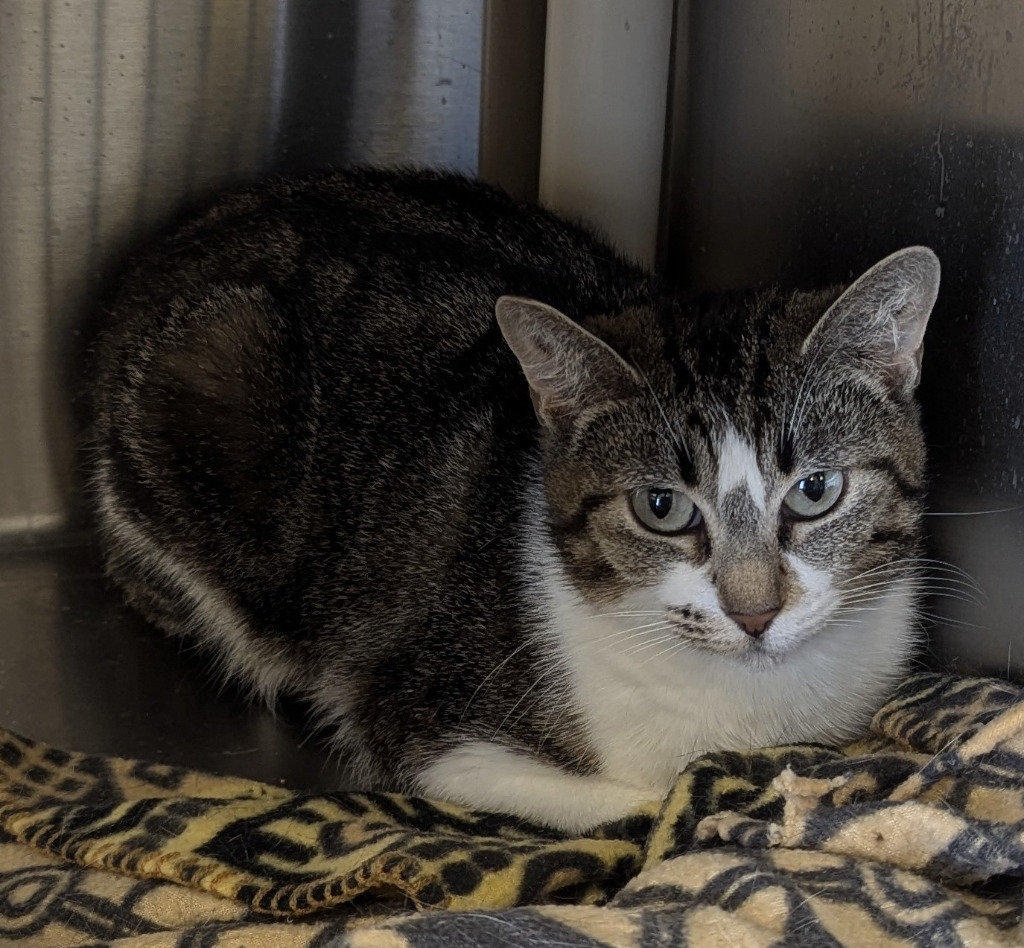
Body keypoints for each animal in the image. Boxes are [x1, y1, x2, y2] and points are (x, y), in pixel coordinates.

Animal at [83, 168, 937, 831]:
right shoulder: (428, 722)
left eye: (816, 491)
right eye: (661, 508)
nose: (755, 612)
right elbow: (643, 804)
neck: (751, 709)